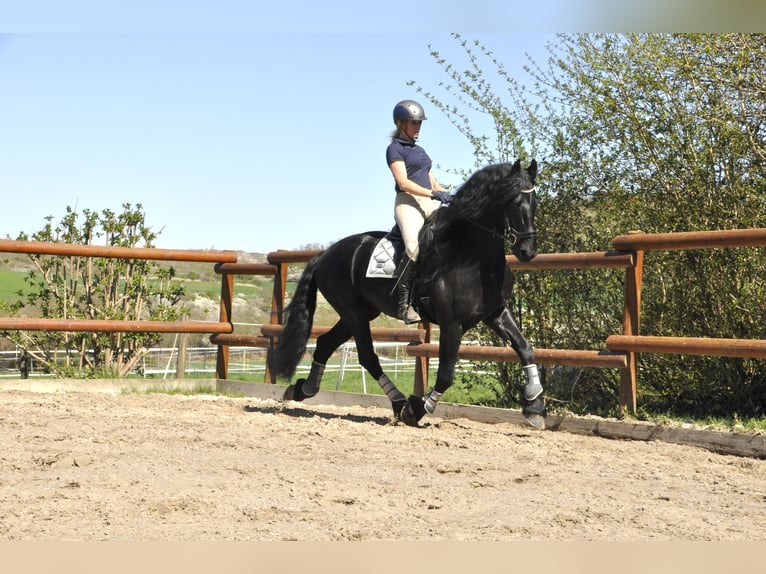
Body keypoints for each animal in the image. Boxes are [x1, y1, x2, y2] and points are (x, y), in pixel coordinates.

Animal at [268, 159, 546, 429]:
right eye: (512, 202)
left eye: (535, 201)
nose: (527, 251)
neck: (471, 257)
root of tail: (324, 255)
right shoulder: (451, 324)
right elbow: (446, 375)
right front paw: (416, 410)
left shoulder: (496, 313)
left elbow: (525, 348)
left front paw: (535, 407)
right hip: (354, 315)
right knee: (368, 357)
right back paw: (399, 403)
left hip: (358, 314)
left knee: (326, 343)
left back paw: (302, 389)